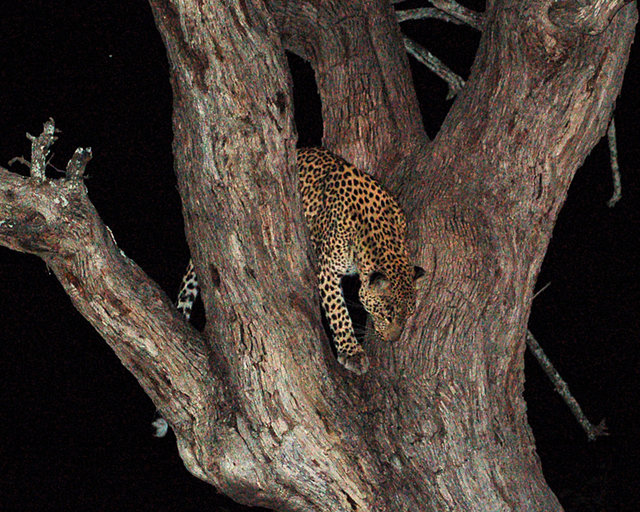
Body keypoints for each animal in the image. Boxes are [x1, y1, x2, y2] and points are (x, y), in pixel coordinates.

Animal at [178, 146, 422, 374]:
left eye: (408, 315)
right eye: (386, 315)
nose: (392, 340)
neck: (379, 235)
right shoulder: (326, 268)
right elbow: (338, 311)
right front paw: (351, 353)